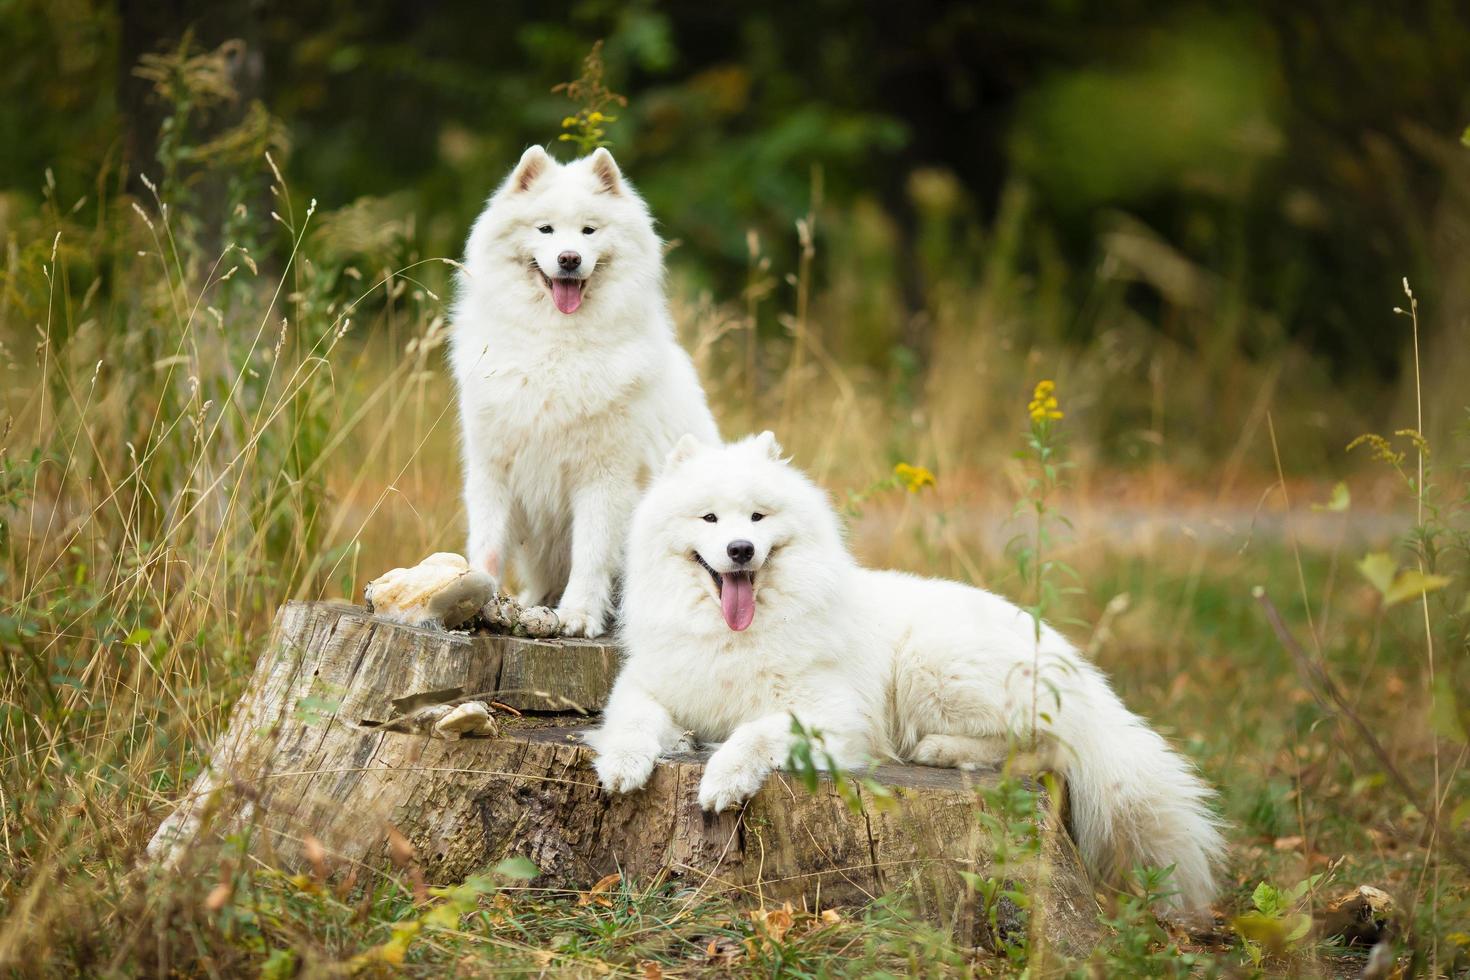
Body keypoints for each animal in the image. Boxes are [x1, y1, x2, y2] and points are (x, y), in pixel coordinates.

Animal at [449, 143, 720, 637]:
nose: (570, 258)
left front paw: (577, 615)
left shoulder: (603, 479)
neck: (557, 345)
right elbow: (487, 545)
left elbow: (591, 555)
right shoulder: (493, 468)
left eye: (589, 230)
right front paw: (479, 599)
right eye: (546, 229)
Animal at [593, 434, 1228, 910]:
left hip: (933, 663)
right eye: (709, 518)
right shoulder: (649, 684)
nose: (742, 549)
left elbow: (753, 733)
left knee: (1042, 748)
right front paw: (624, 765)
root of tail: (1078, 671)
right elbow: (630, 721)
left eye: (756, 516)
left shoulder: (831, 715)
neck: (735, 637)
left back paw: (941, 750)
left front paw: (722, 778)